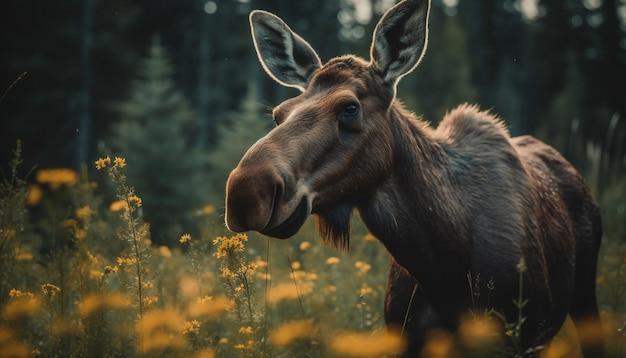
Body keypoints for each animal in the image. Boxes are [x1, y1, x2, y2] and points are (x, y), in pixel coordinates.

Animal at [223, 0, 600, 356]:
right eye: (278, 114)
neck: (443, 263)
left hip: (585, 296)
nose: (246, 191)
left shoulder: (524, 336)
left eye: (350, 108)